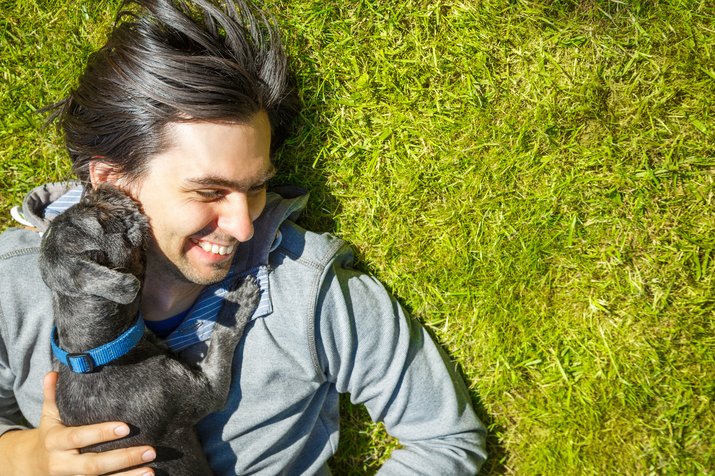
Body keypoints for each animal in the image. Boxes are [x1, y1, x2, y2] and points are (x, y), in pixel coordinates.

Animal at [38, 185, 258, 476]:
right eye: (101, 216)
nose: (101, 189)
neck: (97, 352)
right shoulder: (211, 391)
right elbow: (223, 339)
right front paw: (239, 302)